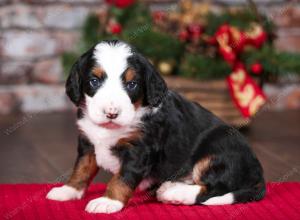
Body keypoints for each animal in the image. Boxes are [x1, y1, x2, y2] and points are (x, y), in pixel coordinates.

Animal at [46, 39, 264, 213]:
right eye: (94, 81)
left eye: (132, 84)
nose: (111, 113)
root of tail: (257, 172)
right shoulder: (88, 142)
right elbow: (81, 169)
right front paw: (69, 190)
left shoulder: (139, 150)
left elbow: (122, 179)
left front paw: (108, 201)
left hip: (219, 149)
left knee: (214, 188)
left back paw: (176, 193)